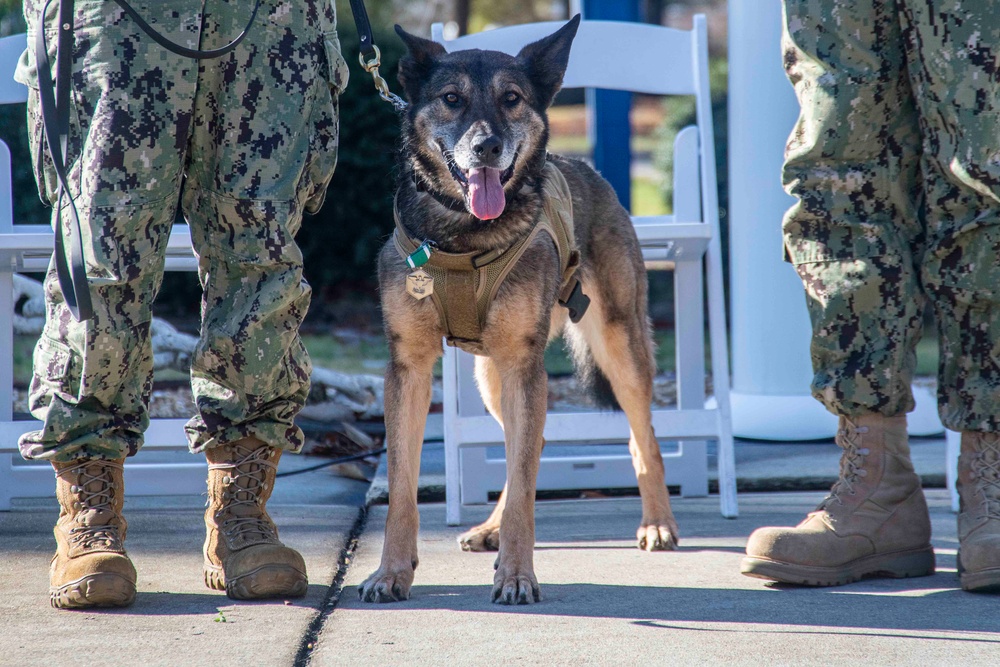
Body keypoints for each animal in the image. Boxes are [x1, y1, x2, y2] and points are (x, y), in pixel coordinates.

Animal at [360, 18, 680, 608]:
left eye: (511, 99)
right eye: (451, 99)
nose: (487, 146)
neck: (463, 236)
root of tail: (585, 167)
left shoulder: (523, 365)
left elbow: (527, 490)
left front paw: (516, 575)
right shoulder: (409, 369)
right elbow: (401, 490)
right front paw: (391, 572)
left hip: (616, 347)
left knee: (639, 434)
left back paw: (658, 523)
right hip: (493, 375)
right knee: (526, 447)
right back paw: (489, 527)